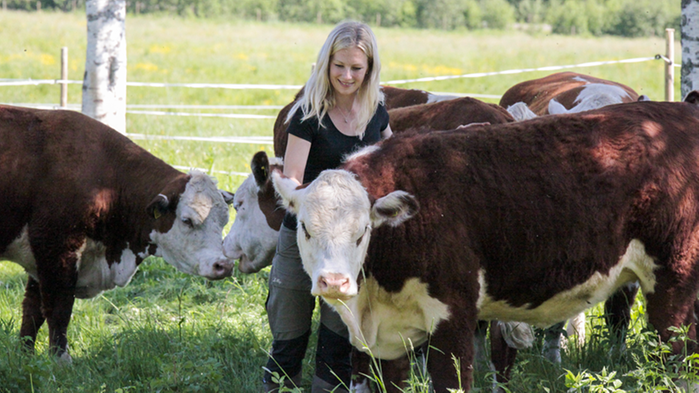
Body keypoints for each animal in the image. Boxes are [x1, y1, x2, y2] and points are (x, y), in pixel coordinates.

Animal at [0, 105, 235, 362]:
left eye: (224, 220)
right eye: (187, 220)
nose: (224, 265)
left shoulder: (38, 258)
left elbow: (32, 311)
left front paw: (26, 356)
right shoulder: (56, 248)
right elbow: (58, 309)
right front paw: (61, 360)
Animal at [274, 95, 699, 392]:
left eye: (363, 230)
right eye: (306, 228)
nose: (334, 282)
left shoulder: (453, 319)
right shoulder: (385, 342)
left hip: (674, 278)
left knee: (678, 355)